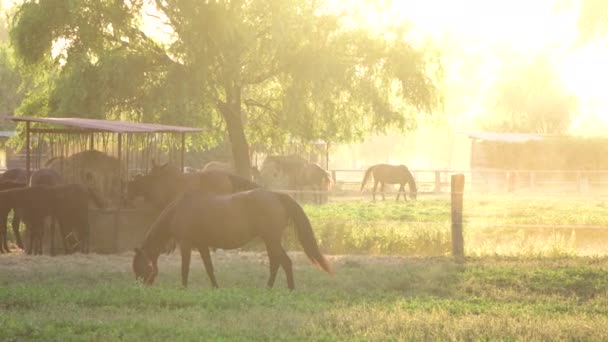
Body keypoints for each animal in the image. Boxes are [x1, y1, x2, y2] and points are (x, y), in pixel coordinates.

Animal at [132, 188, 332, 290]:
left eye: (138, 266)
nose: (143, 285)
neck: (179, 210)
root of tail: (276, 195)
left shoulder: (186, 245)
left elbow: (185, 268)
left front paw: (184, 288)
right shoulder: (202, 246)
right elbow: (209, 268)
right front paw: (215, 287)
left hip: (272, 240)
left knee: (284, 262)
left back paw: (287, 288)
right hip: (270, 241)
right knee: (277, 262)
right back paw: (269, 288)